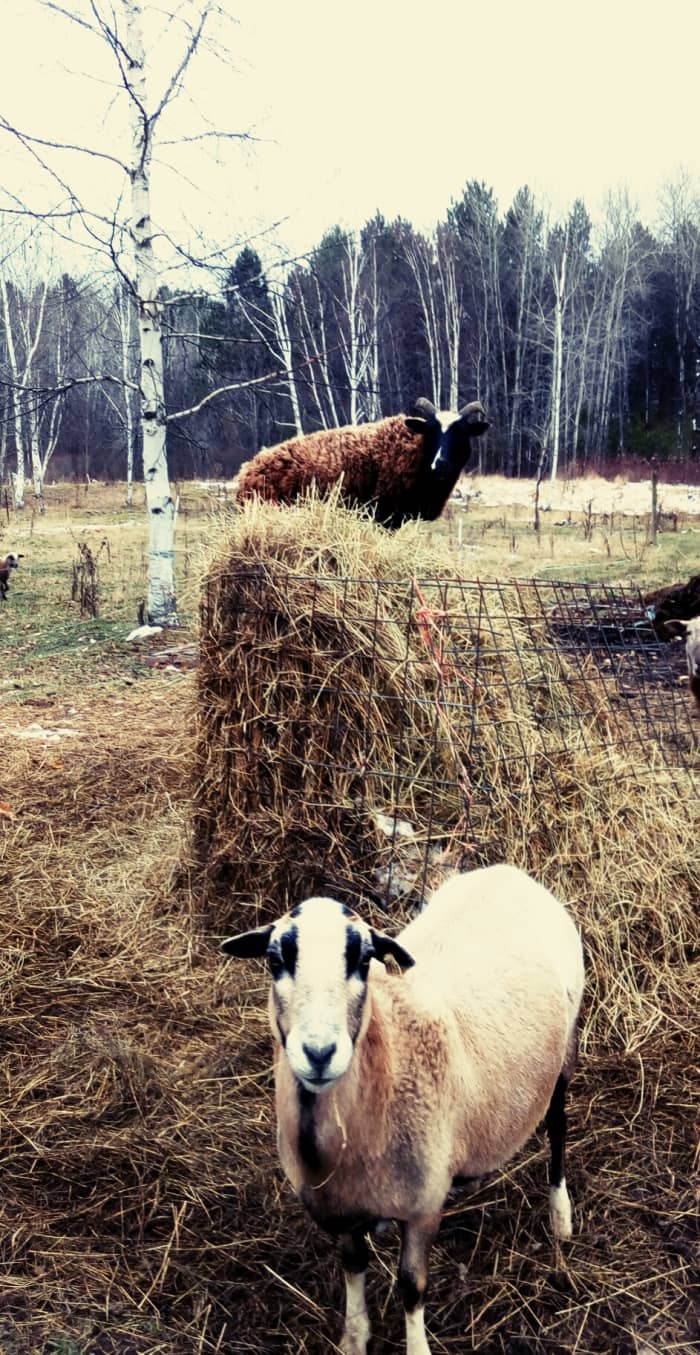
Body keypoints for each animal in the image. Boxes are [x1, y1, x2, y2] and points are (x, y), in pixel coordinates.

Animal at [220, 867, 582, 1355]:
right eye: (276, 959)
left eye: (362, 959)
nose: (319, 1053)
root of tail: (509, 873)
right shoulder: (345, 1207)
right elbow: (353, 1266)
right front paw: (354, 1336)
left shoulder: (422, 1207)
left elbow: (411, 1287)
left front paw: (415, 1345)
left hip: (565, 1052)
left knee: (558, 1128)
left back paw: (560, 1216)